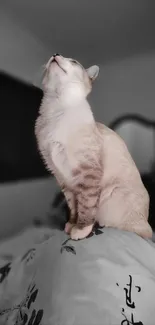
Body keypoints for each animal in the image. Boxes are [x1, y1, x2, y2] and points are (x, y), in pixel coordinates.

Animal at [34, 53, 152, 239]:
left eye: (73, 61)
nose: (55, 54)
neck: (56, 111)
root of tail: (146, 224)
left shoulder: (86, 174)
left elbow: (86, 207)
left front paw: (80, 231)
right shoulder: (64, 179)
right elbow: (74, 208)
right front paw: (71, 225)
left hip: (111, 196)